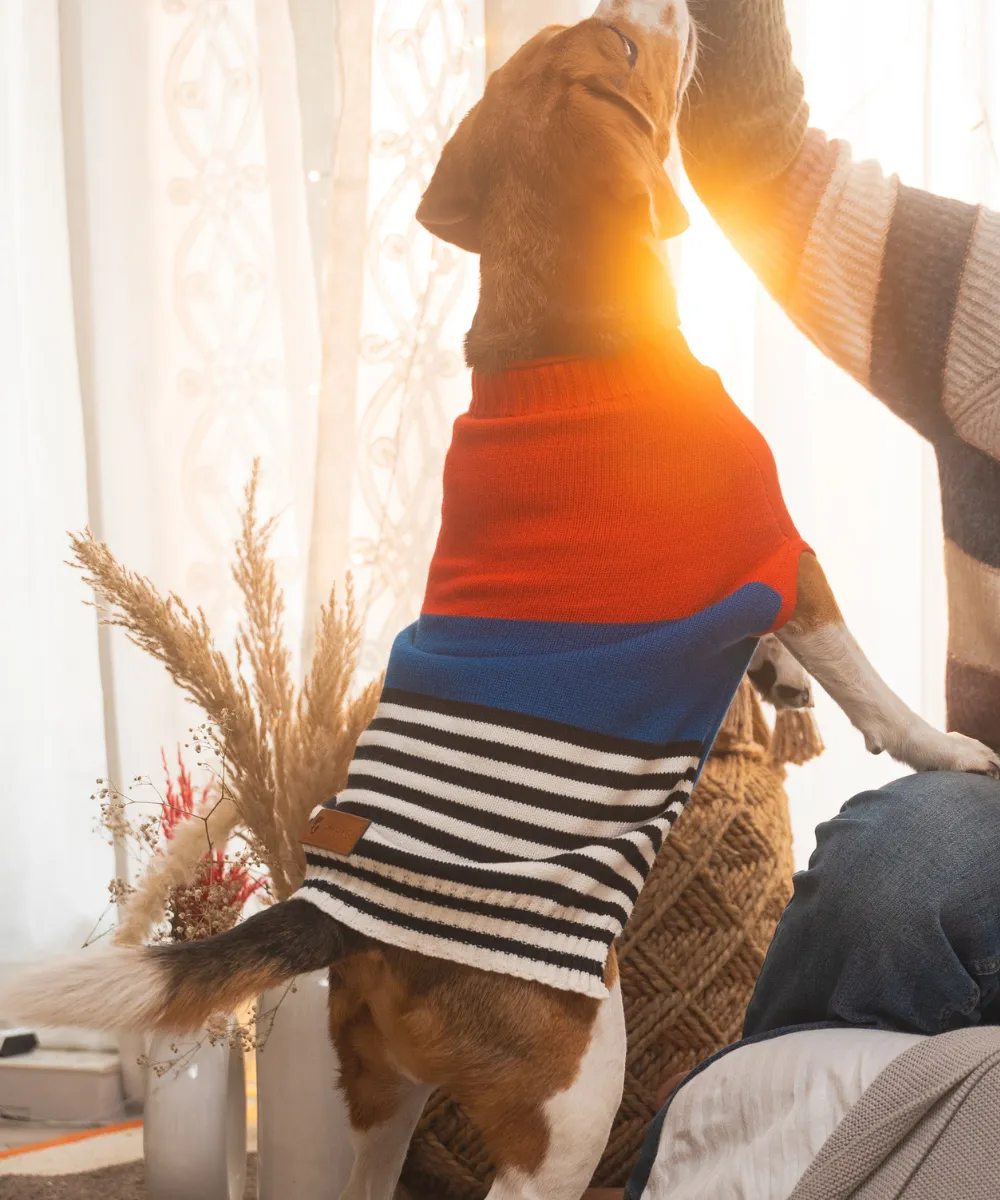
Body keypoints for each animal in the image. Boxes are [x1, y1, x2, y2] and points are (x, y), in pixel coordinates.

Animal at [3, 2, 993, 1200]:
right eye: (621, 50)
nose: (667, 10)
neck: (558, 325)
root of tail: (334, 910)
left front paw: (779, 679)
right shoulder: (782, 550)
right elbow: (871, 686)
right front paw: (947, 748)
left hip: (377, 1096)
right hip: (572, 1091)